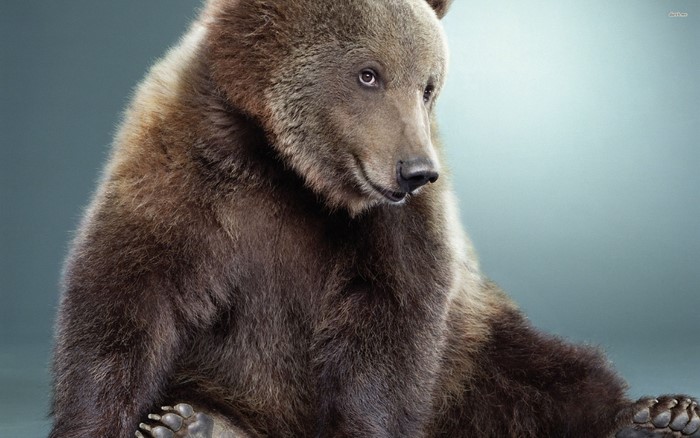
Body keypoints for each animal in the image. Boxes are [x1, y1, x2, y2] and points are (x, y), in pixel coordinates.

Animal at [49, 0, 699, 437]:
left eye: (428, 85)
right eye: (368, 73)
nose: (416, 171)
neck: (285, 167)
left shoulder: (394, 229)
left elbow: (390, 327)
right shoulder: (182, 172)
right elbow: (127, 301)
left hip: (474, 345)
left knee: (548, 373)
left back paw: (658, 415)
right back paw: (189, 422)